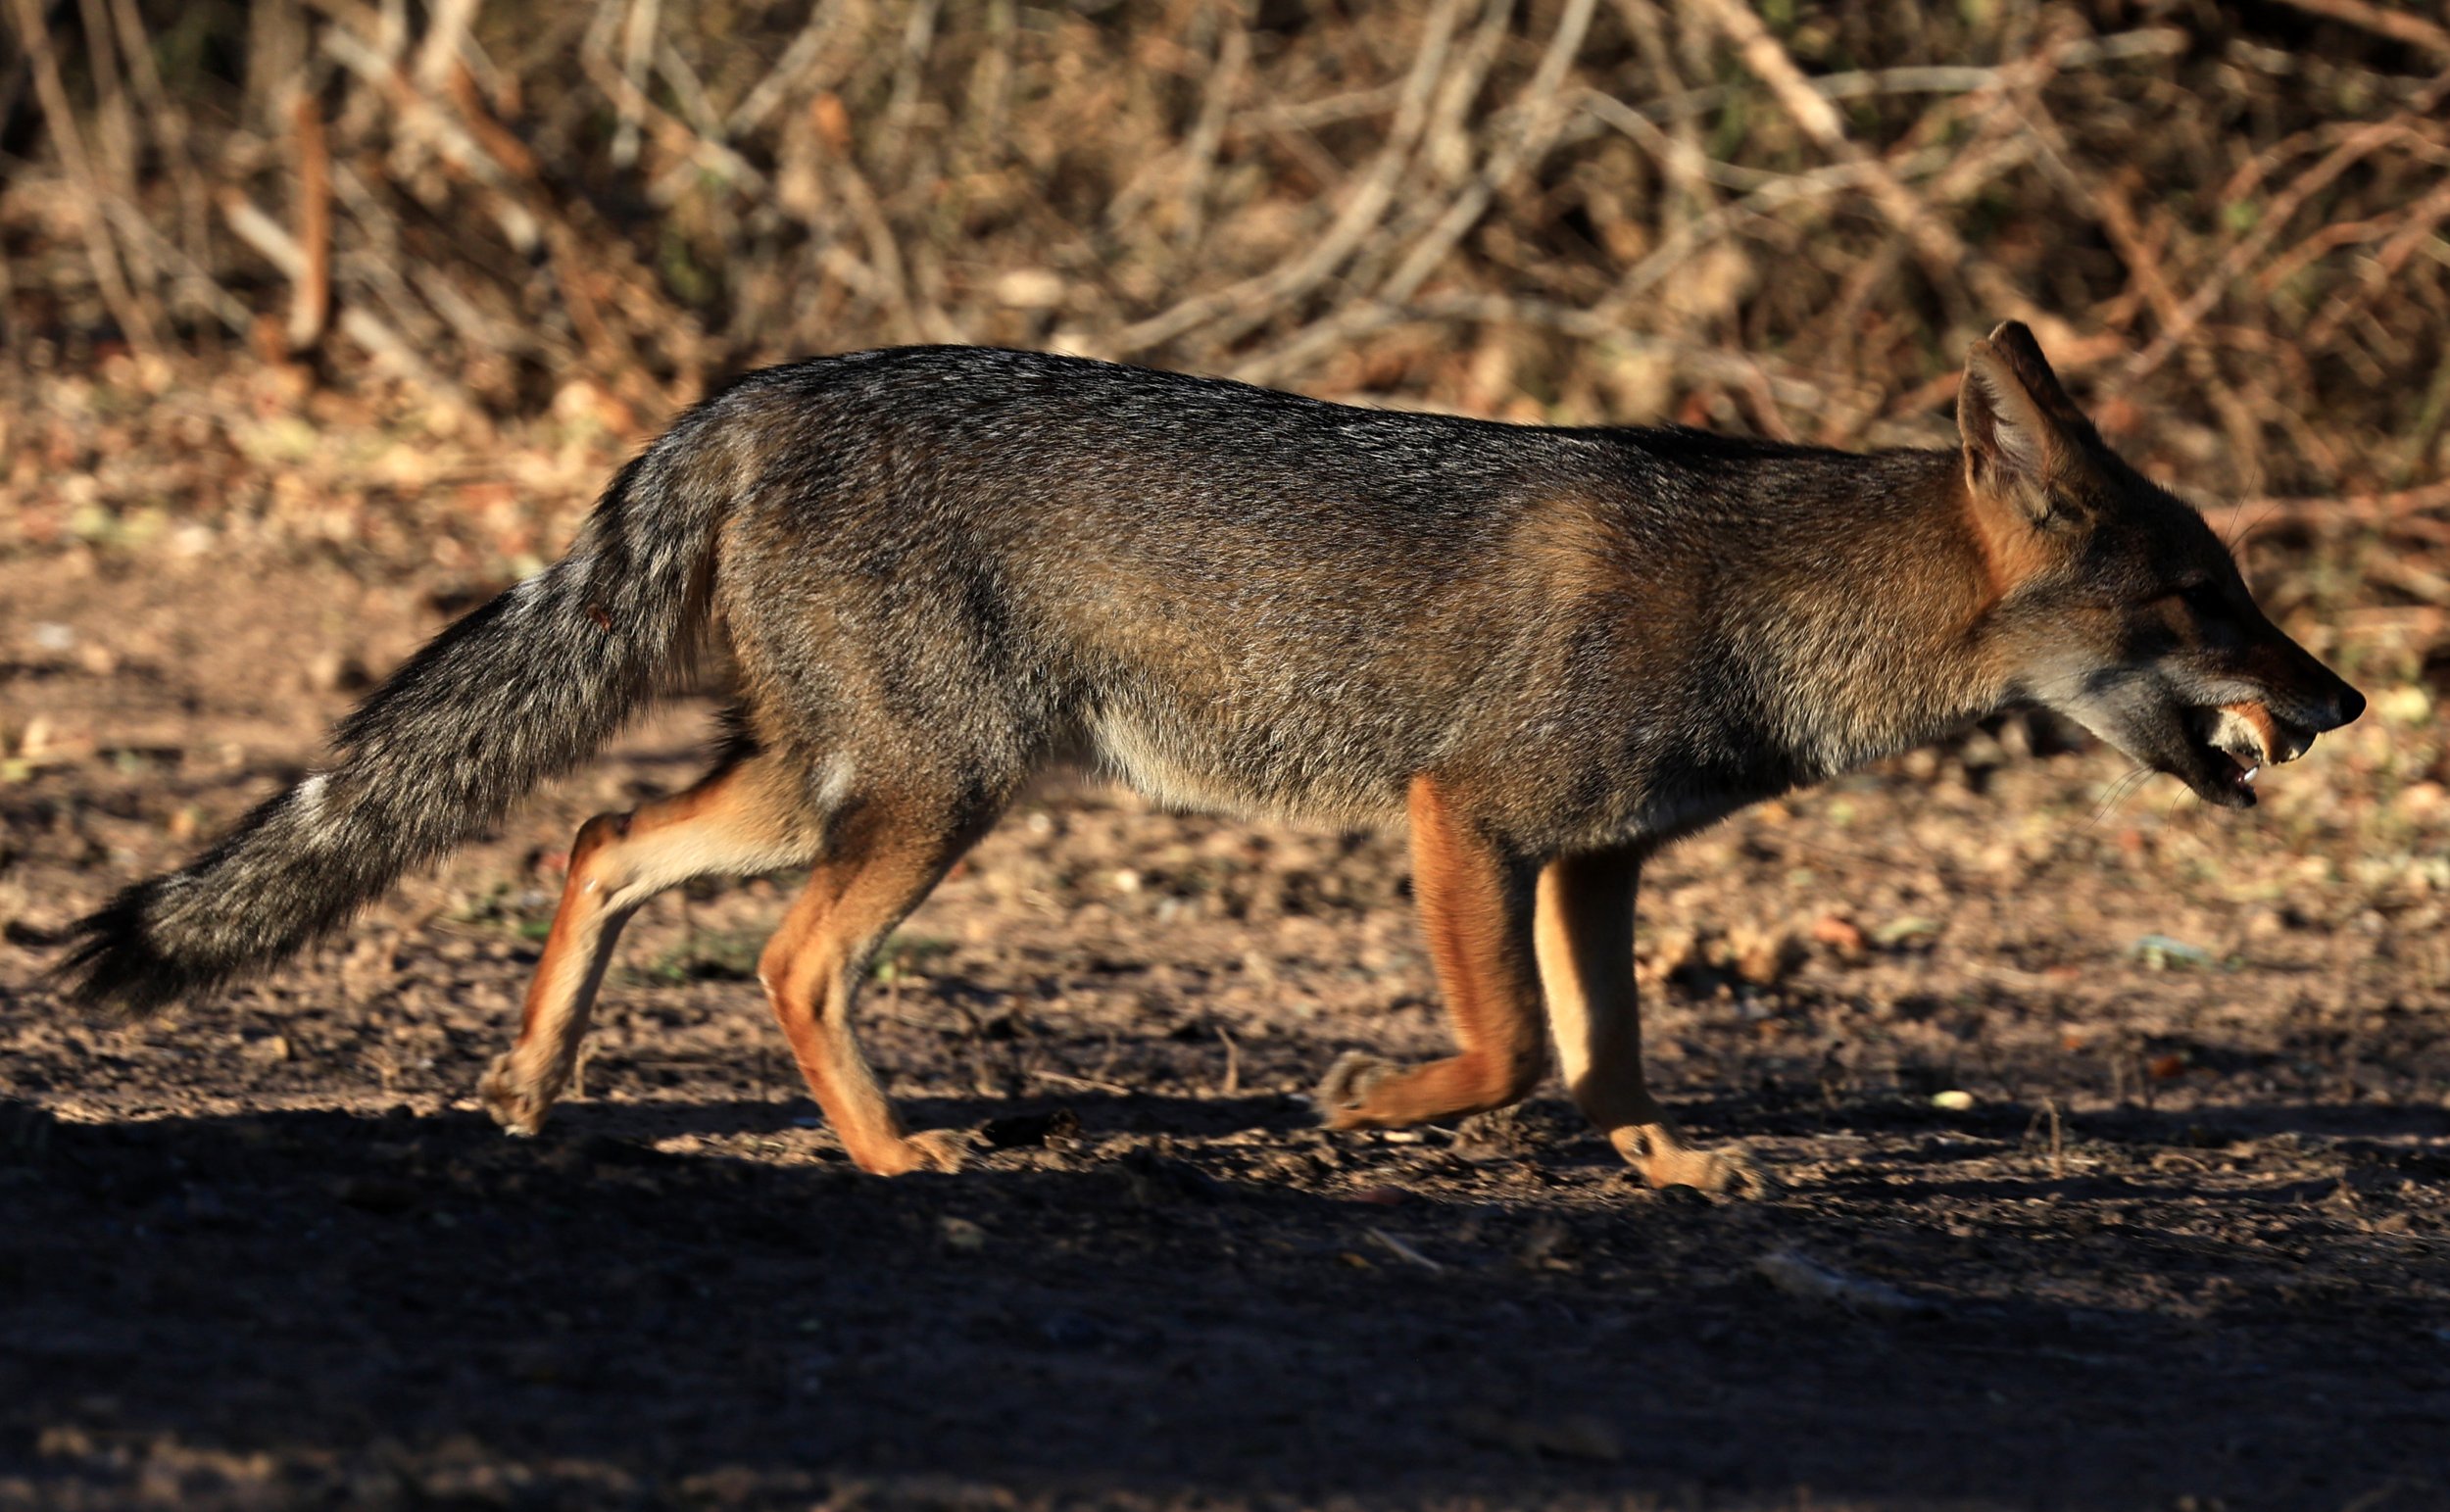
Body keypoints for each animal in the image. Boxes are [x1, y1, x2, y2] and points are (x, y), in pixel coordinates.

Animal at [52, 321, 2362, 1194]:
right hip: (931, 800)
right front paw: (1364, 1103)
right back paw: (891, 1163)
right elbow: (1502, 1050)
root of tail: (770, 381)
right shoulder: (1465, 813)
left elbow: (1603, 1052)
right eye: (2210, 593)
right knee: (790, 960)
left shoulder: (1599, 859)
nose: (2344, 704)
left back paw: (533, 1095)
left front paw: (1665, 1169)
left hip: (825, 783)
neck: (1760, 589)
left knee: (597, 844)